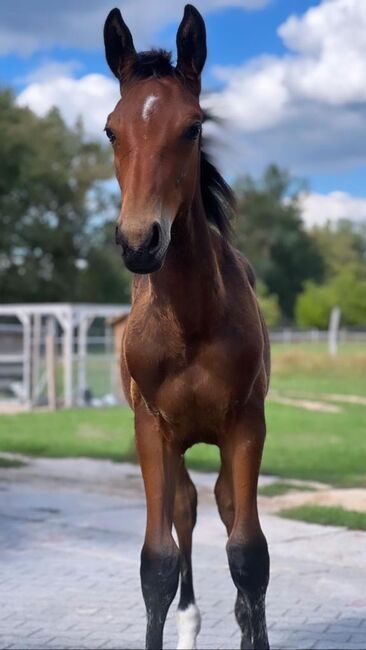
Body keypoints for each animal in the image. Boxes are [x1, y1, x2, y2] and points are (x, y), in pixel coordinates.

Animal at [104, 6, 270, 648]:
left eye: (193, 128)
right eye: (111, 130)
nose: (139, 241)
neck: (191, 323)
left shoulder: (246, 424)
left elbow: (249, 557)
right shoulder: (152, 429)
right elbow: (157, 563)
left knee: (226, 514)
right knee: (186, 512)